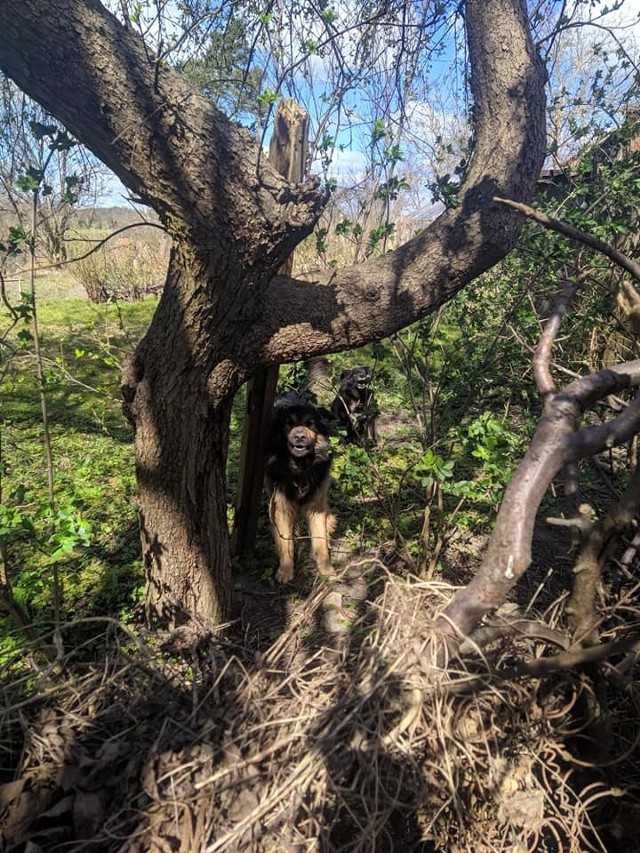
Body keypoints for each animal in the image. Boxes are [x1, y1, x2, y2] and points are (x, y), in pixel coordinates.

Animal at [264, 394, 338, 584]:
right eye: (288, 423)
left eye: (310, 423)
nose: (299, 437)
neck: (300, 467)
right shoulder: (281, 506)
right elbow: (285, 541)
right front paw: (285, 570)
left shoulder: (317, 505)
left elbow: (319, 539)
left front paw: (326, 569)